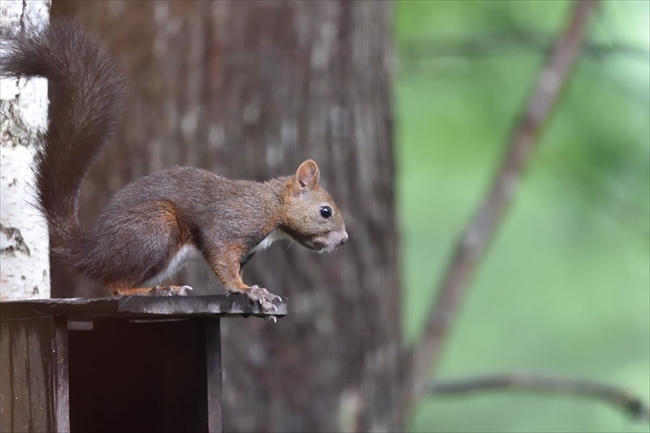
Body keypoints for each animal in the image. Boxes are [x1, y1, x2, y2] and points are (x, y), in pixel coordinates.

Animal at [0, 21, 346, 310]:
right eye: (325, 211)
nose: (343, 240)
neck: (272, 208)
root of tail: (93, 252)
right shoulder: (231, 224)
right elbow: (224, 262)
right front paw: (249, 290)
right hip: (156, 227)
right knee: (116, 285)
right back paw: (158, 290)